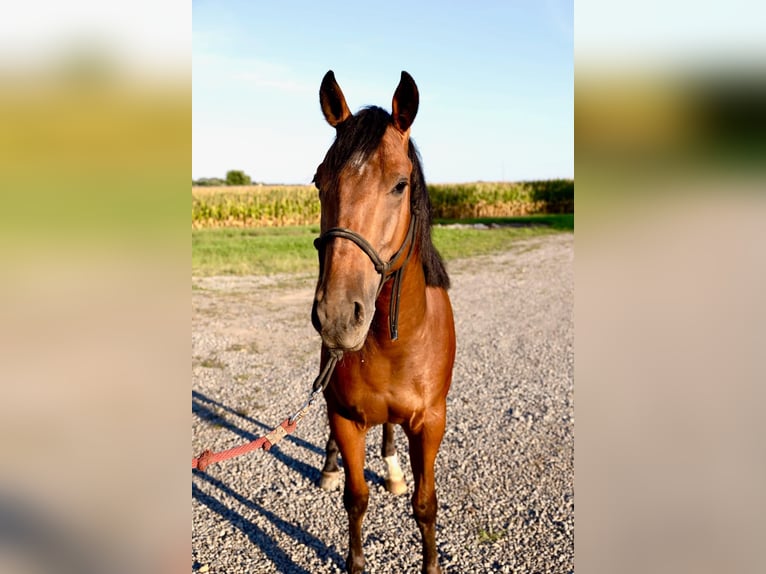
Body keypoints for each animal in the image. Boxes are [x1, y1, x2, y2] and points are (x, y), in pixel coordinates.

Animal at [311, 70, 456, 574]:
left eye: (400, 184)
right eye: (318, 181)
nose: (337, 315)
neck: (397, 342)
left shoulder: (430, 423)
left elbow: (426, 505)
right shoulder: (344, 417)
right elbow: (356, 499)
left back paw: (393, 470)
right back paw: (329, 467)